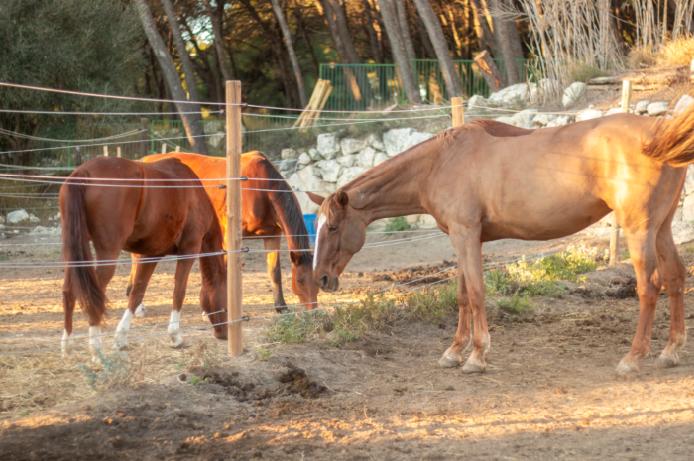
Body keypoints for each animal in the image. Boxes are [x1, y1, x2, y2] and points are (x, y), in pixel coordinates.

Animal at [59, 156, 228, 358]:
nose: (225, 334)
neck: (194, 192)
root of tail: (83, 173)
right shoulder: (189, 250)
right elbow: (179, 291)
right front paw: (175, 336)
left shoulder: (150, 255)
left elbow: (137, 291)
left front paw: (121, 339)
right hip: (108, 254)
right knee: (93, 295)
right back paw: (96, 349)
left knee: (69, 291)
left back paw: (67, 345)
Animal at [126, 151, 317, 315]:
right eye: (300, 280)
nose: (314, 310)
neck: (261, 188)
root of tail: (142, 162)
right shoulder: (228, 237)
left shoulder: (272, 234)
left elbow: (274, 271)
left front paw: (281, 307)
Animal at [309, 104, 694, 376]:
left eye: (333, 227)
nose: (321, 279)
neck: (439, 163)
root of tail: (656, 134)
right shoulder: (463, 238)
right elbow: (463, 295)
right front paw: (453, 352)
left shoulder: (466, 234)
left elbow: (478, 293)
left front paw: (477, 356)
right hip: (661, 228)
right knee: (675, 277)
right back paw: (670, 352)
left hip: (639, 229)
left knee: (649, 286)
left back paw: (632, 358)